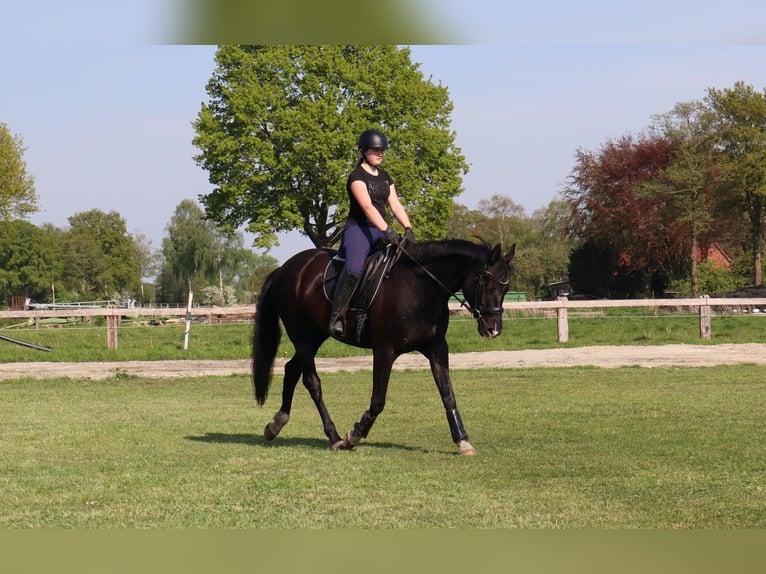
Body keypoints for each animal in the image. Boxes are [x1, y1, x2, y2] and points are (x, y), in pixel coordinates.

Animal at [252, 237, 516, 454]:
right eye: (489, 285)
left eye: (506, 288)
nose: (493, 329)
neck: (420, 288)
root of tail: (286, 268)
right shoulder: (384, 351)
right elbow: (378, 400)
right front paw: (354, 435)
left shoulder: (437, 347)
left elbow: (447, 394)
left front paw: (462, 440)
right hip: (303, 336)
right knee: (311, 382)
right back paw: (334, 436)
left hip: (316, 335)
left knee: (291, 370)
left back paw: (275, 425)